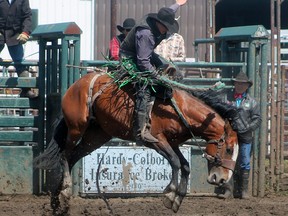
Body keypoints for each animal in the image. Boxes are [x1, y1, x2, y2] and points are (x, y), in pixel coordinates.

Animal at [33, 72, 237, 214]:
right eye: (228, 149)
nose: (222, 179)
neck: (179, 109)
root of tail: (77, 84)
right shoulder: (157, 140)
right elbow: (175, 162)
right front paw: (169, 194)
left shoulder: (173, 143)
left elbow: (185, 165)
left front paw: (176, 200)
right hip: (77, 127)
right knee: (65, 156)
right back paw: (66, 191)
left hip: (96, 136)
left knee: (72, 157)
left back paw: (58, 202)